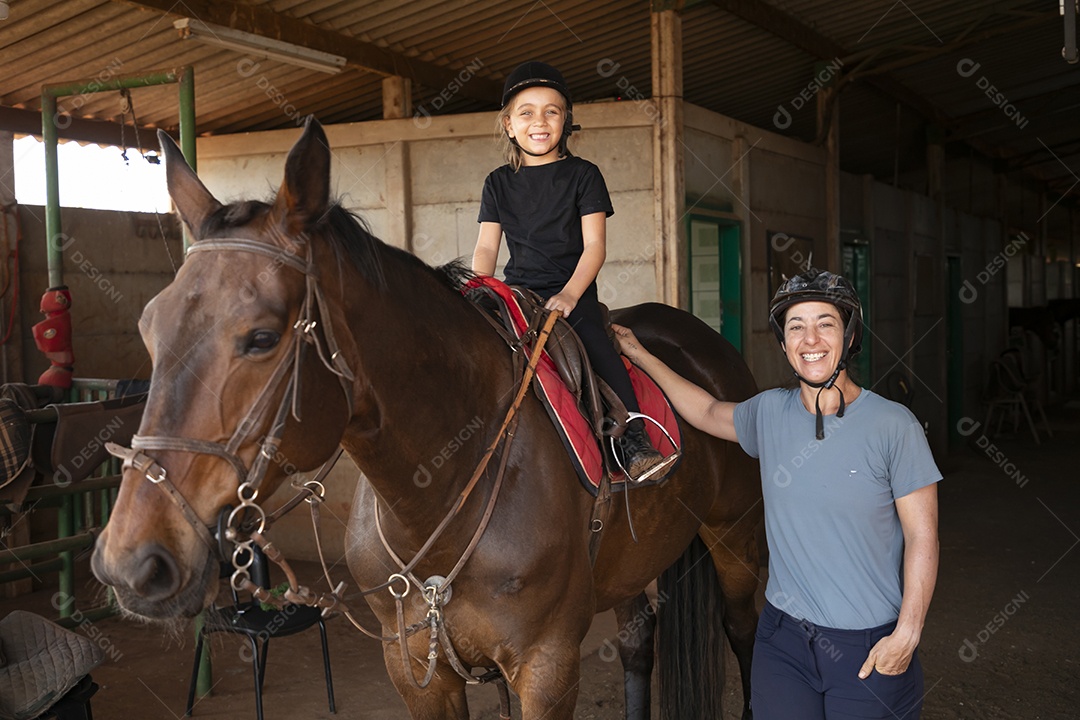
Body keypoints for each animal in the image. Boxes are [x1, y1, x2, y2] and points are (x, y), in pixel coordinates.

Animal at [95, 120, 768, 716]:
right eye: (149, 327)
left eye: (261, 337)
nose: (130, 561)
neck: (442, 488)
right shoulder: (415, 668)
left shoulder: (547, 668)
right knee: (638, 640)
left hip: (736, 538)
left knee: (744, 630)